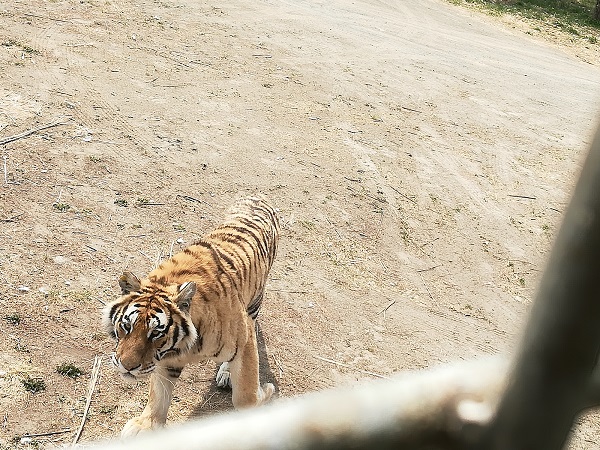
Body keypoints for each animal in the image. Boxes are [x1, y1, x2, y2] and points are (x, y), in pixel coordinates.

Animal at [102, 196, 278, 436]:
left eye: (156, 333)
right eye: (127, 326)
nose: (127, 366)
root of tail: (257, 196)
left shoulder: (245, 340)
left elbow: (245, 397)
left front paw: (265, 393)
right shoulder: (167, 358)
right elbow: (159, 392)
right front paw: (146, 425)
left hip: (253, 305)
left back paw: (226, 374)